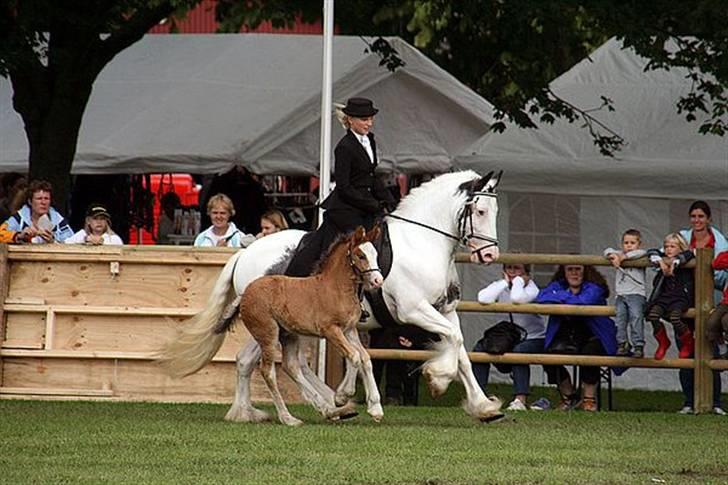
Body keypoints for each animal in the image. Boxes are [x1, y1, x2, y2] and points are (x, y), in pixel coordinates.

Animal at [235, 226, 382, 426]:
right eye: (360, 255)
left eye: (375, 254)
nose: (378, 280)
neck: (335, 288)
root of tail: (246, 292)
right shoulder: (330, 330)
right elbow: (354, 356)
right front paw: (341, 397)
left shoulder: (349, 330)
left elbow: (365, 358)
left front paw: (376, 409)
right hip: (268, 334)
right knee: (268, 371)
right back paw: (288, 418)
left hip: (288, 336)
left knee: (291, 366)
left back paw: (326, 409)